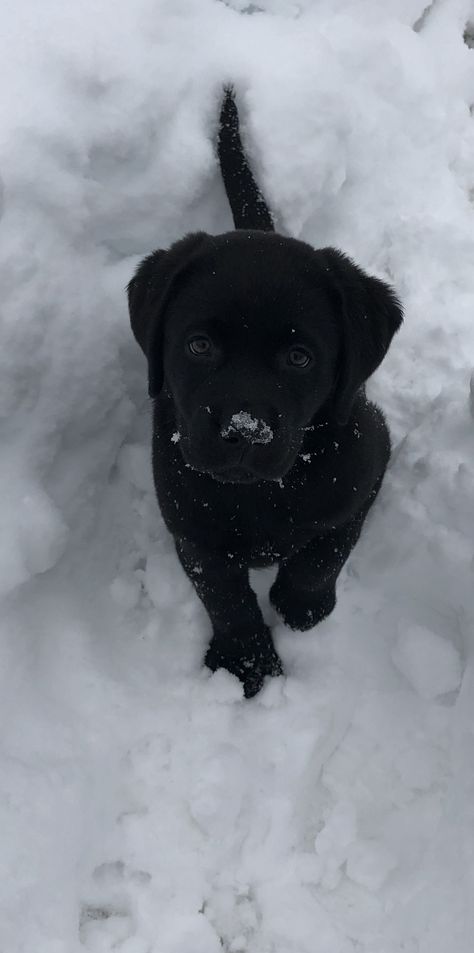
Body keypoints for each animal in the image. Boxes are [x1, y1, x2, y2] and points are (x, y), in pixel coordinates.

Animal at [128, 91, 402, 692]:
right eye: (200, 345)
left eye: (299, 358)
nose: (243, 430)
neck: (261, 495)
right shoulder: (192, 530)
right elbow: (225, 597)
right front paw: (247, 662)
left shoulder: (369, 459)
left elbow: (328, 549)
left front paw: (300, 605)